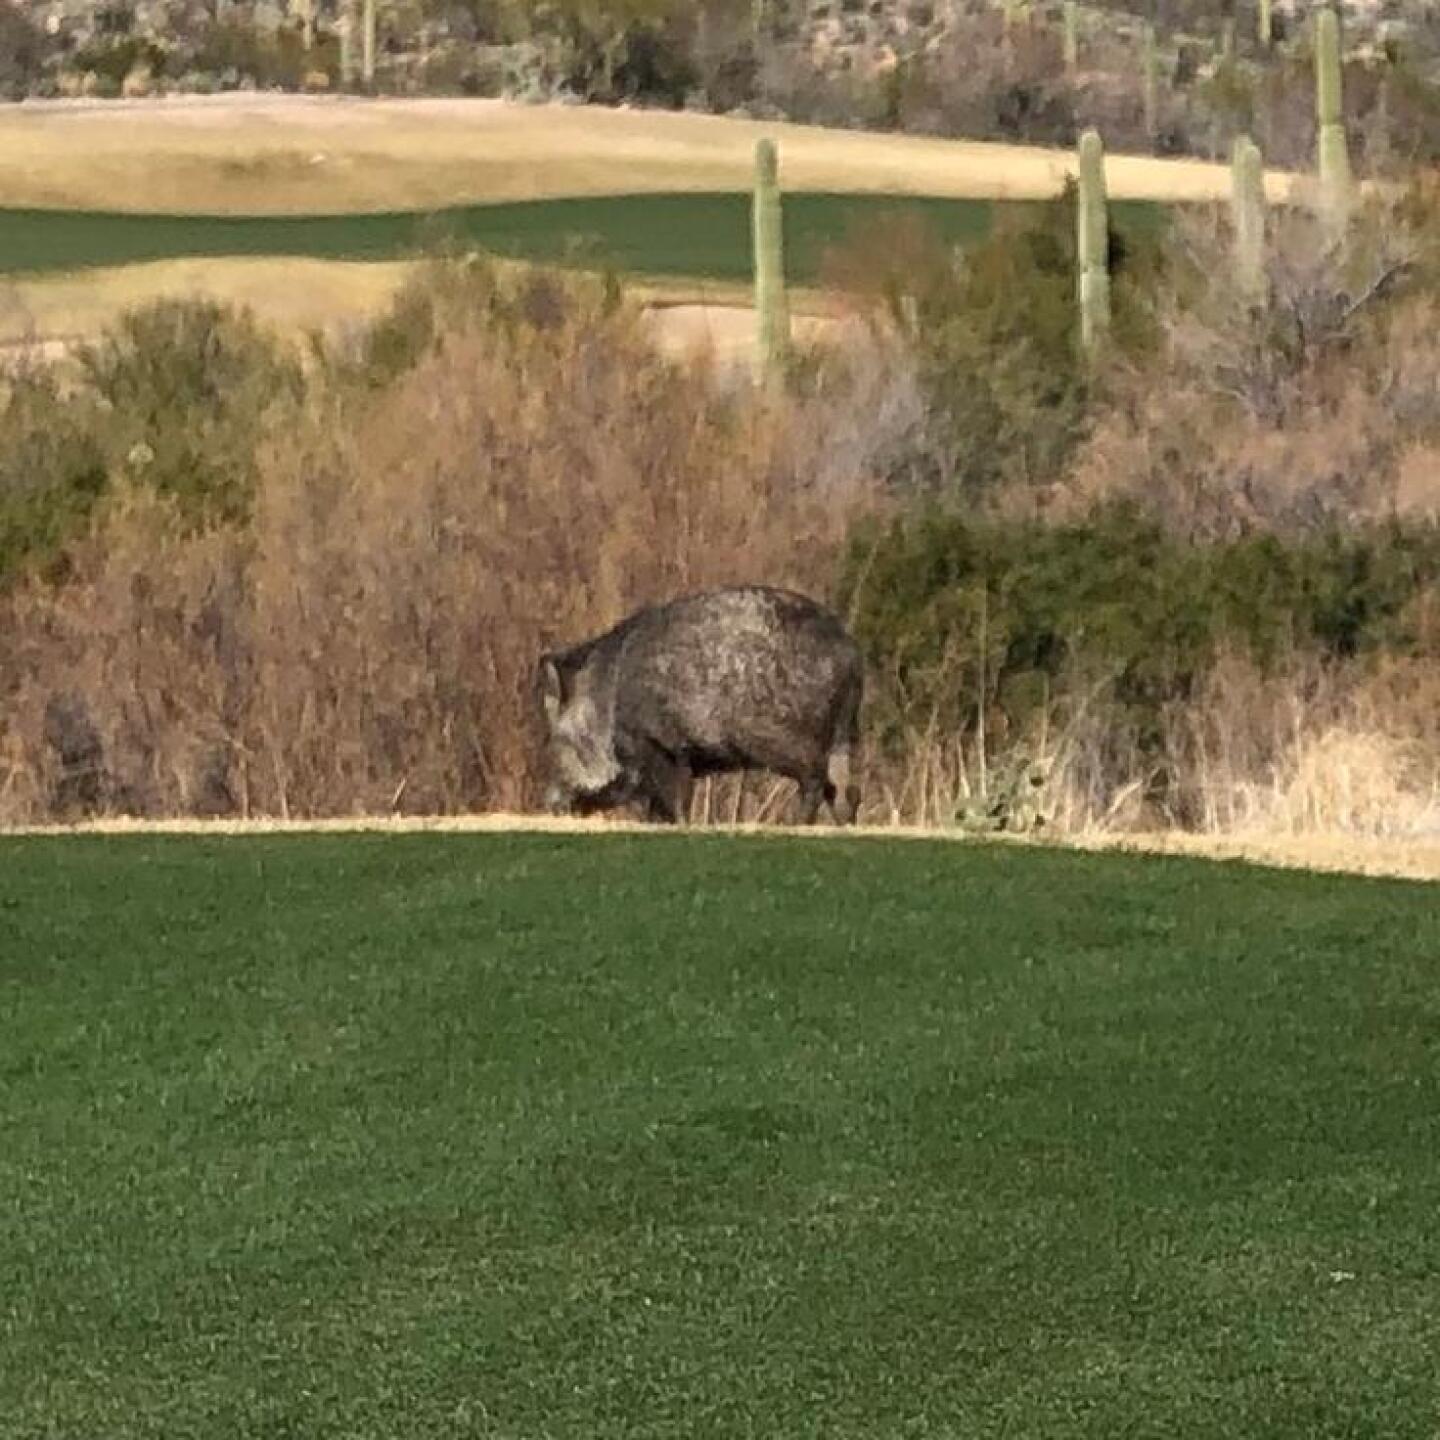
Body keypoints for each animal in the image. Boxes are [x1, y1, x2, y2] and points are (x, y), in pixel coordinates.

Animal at [535, 585, 863, 825]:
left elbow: (676, 800)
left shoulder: (660, 745)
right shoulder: (684, 757)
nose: (551, 805)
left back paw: (794, 824)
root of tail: (851, 652)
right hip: (844, 733)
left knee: (817, 779)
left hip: (798, 741)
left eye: (557, 740)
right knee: (846, 788)